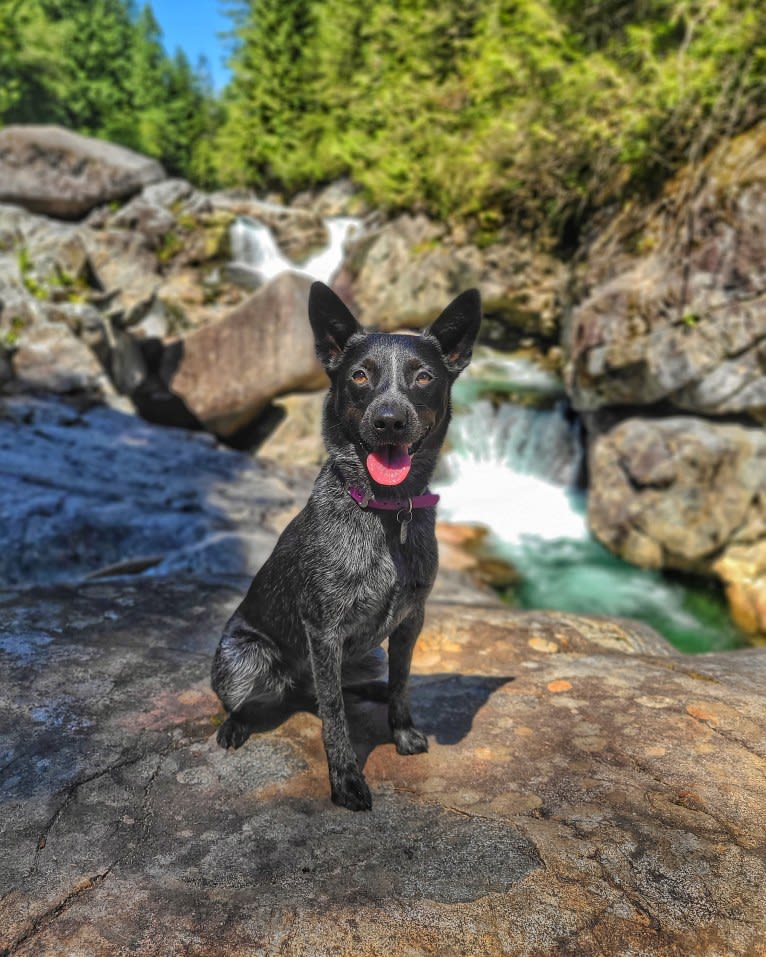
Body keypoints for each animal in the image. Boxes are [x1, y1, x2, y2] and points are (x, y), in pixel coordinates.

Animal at [213, 280, 484, 812]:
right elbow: (335, 720)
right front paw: (345, 781)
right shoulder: (324, 631)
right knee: (260, 699)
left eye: (423, 377)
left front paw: (403, 732)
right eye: (360, 375)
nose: (389, 421)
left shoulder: (410, 620)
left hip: (365, 653)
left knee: (342, 687)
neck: (385, 512)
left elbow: (402, 683)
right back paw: (236, 726)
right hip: (244, 658)